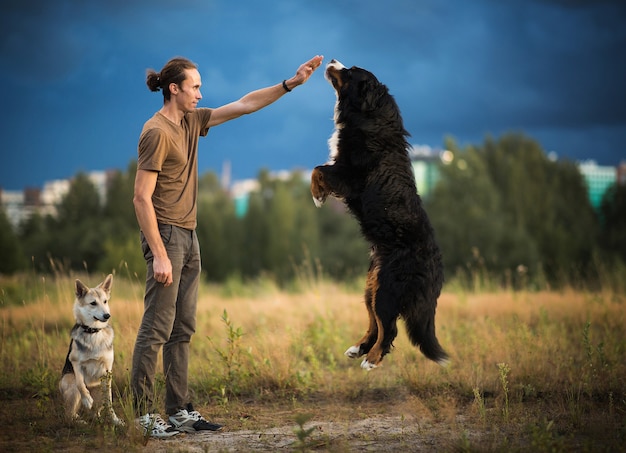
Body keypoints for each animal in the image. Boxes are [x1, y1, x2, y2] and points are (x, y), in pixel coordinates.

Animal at [310, 60, 446, 370]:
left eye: (350, 72)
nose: (331, 60)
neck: (368, 115)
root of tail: (436, 269)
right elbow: (319, 168)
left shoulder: (350, 175)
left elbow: (318, 170)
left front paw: (318, 196)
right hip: (372, 285)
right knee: (376, 323)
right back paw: (358, 349)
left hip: (387, 289)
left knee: (389, 327)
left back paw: (371, 360)